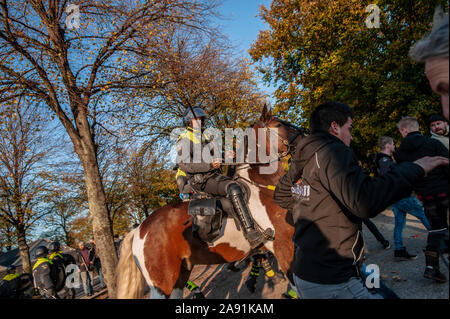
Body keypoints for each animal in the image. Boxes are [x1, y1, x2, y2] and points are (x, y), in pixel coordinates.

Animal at [116, 107, 306, 300]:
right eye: (280, 125)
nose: (305, 137)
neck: (261, 187)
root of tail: (138, 230)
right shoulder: (283, 247)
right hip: (163, 286)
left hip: (179, 277)